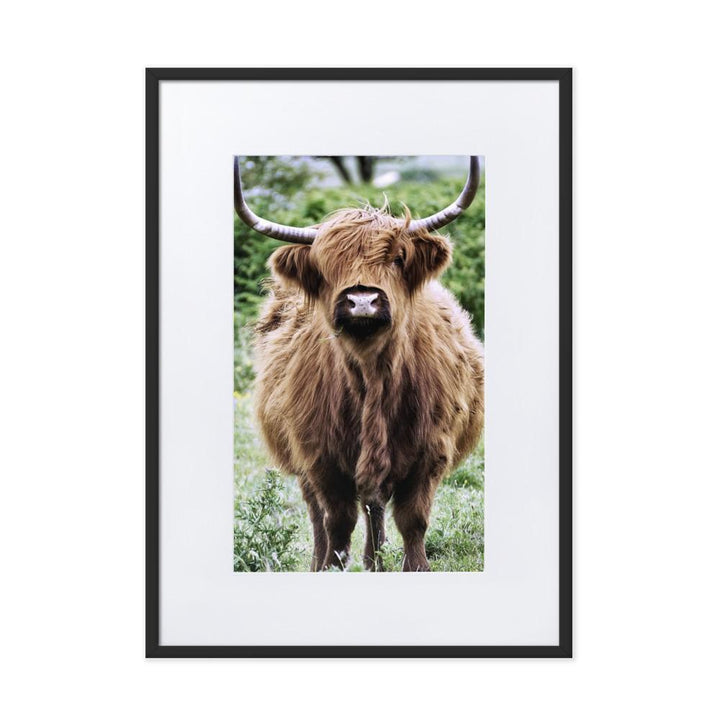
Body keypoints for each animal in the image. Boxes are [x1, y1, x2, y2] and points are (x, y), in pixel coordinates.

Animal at [235, 156, 485, 571]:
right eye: (325, 265)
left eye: (398, 258)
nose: (362, 300)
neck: (373, 377)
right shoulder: (319, 458)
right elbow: (337, 521)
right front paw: (331, 567)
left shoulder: (431, 452)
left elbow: (412, 519)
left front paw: (415, 567)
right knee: (321, 513)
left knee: (375, 505)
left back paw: (374, 560)